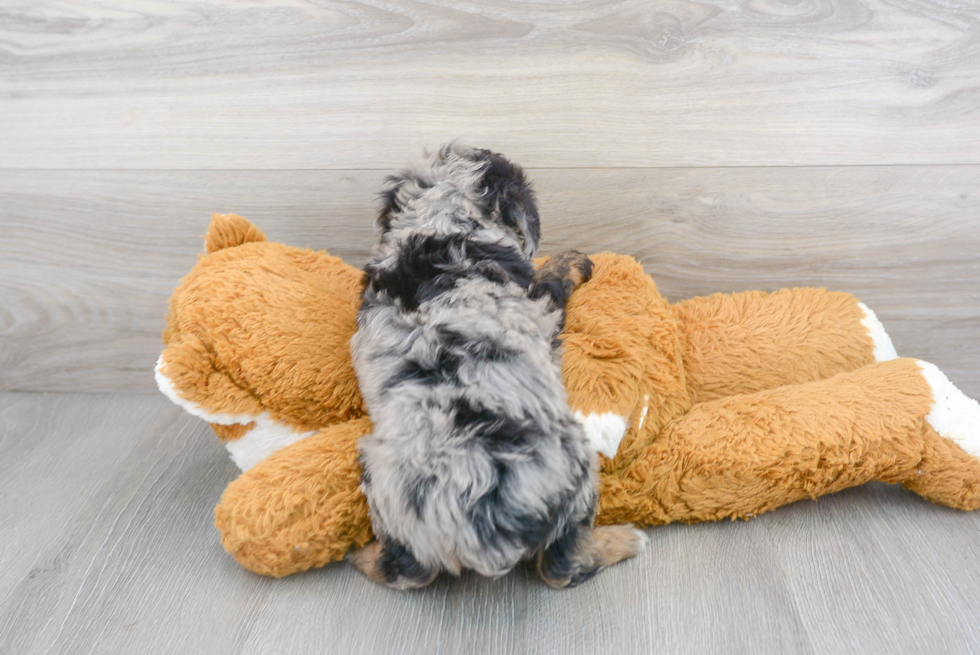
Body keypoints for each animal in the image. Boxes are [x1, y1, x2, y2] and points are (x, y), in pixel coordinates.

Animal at [348, 142, 648, 588]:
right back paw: (624, 540)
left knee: (405, 571)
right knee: (560, 567)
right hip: (575, 475)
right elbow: (553, 278)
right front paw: (574, 261)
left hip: (380, 480)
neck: (437, 223)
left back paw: (362, 557)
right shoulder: (538, 299)